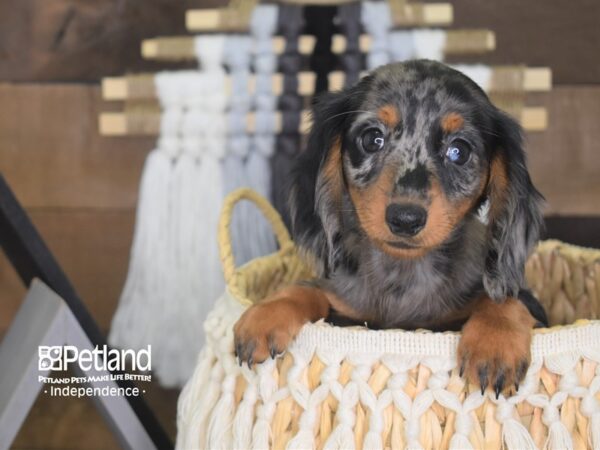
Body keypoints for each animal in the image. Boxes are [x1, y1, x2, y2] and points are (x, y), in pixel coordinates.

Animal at [236, 59, 548, 394]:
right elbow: (308, 290)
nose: (405, 218)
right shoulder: (347, 311)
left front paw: (494, 344)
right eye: (372, 138)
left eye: (459, 151)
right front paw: (266, 313)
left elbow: (505, 301)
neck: (403, 275)